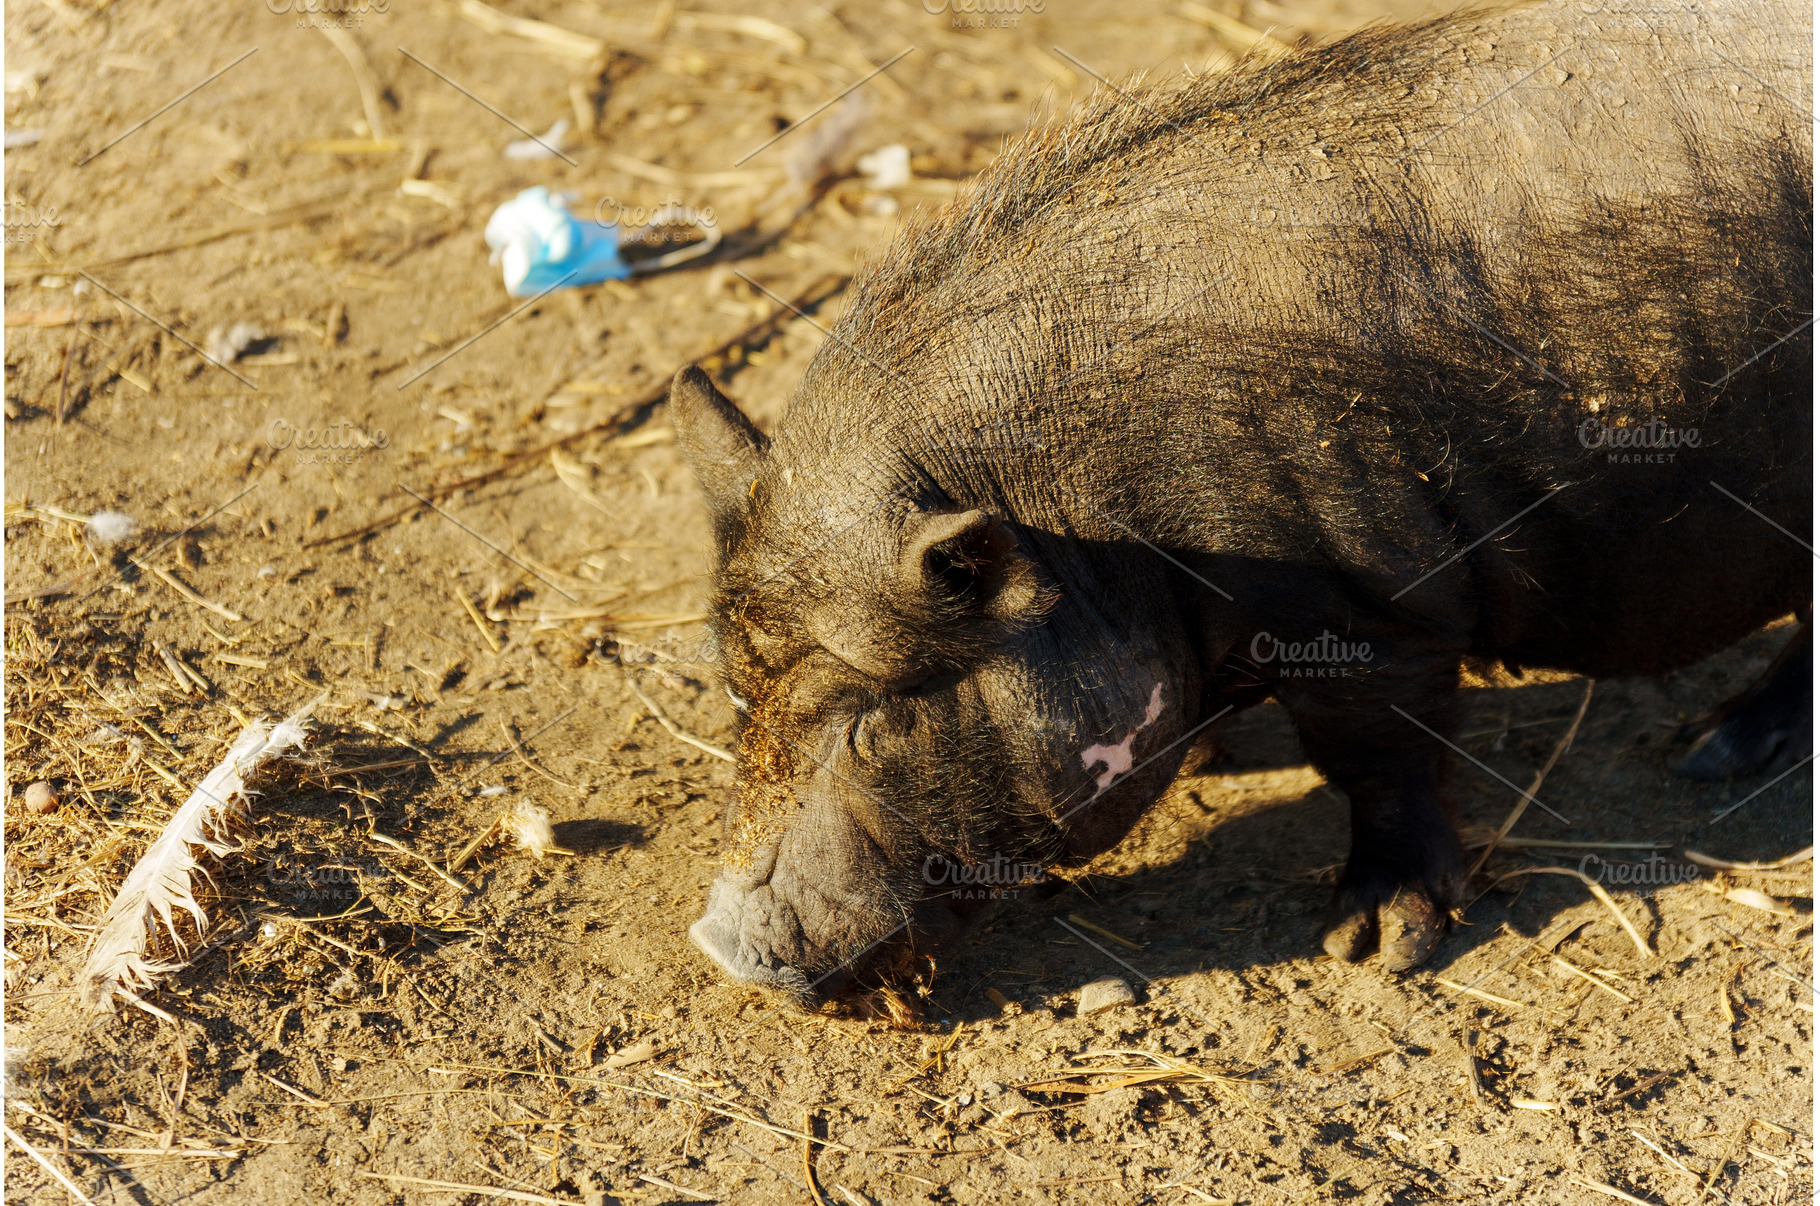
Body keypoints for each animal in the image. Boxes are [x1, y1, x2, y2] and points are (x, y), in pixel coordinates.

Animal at [672, 0, 1811, 1004]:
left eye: (874, 721)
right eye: (735, 694)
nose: (723, 949)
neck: (1096, 525)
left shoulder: (1368, 609)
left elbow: (1375, 762)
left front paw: (1369, 946)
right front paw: (1219, 769)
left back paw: (1707, 756)